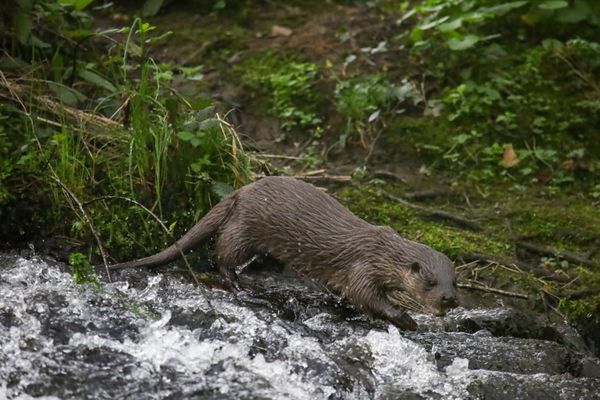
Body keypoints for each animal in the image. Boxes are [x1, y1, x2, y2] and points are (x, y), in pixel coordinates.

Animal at [110, 177, 458, 330]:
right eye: (430, 282)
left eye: (454, 282)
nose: (448, 299)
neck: (382, 254)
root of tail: (240, 191)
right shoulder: (363, 269)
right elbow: (365, 296)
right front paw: (406, 319)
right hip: (244, 230)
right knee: (223, 255)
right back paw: (239, 283)